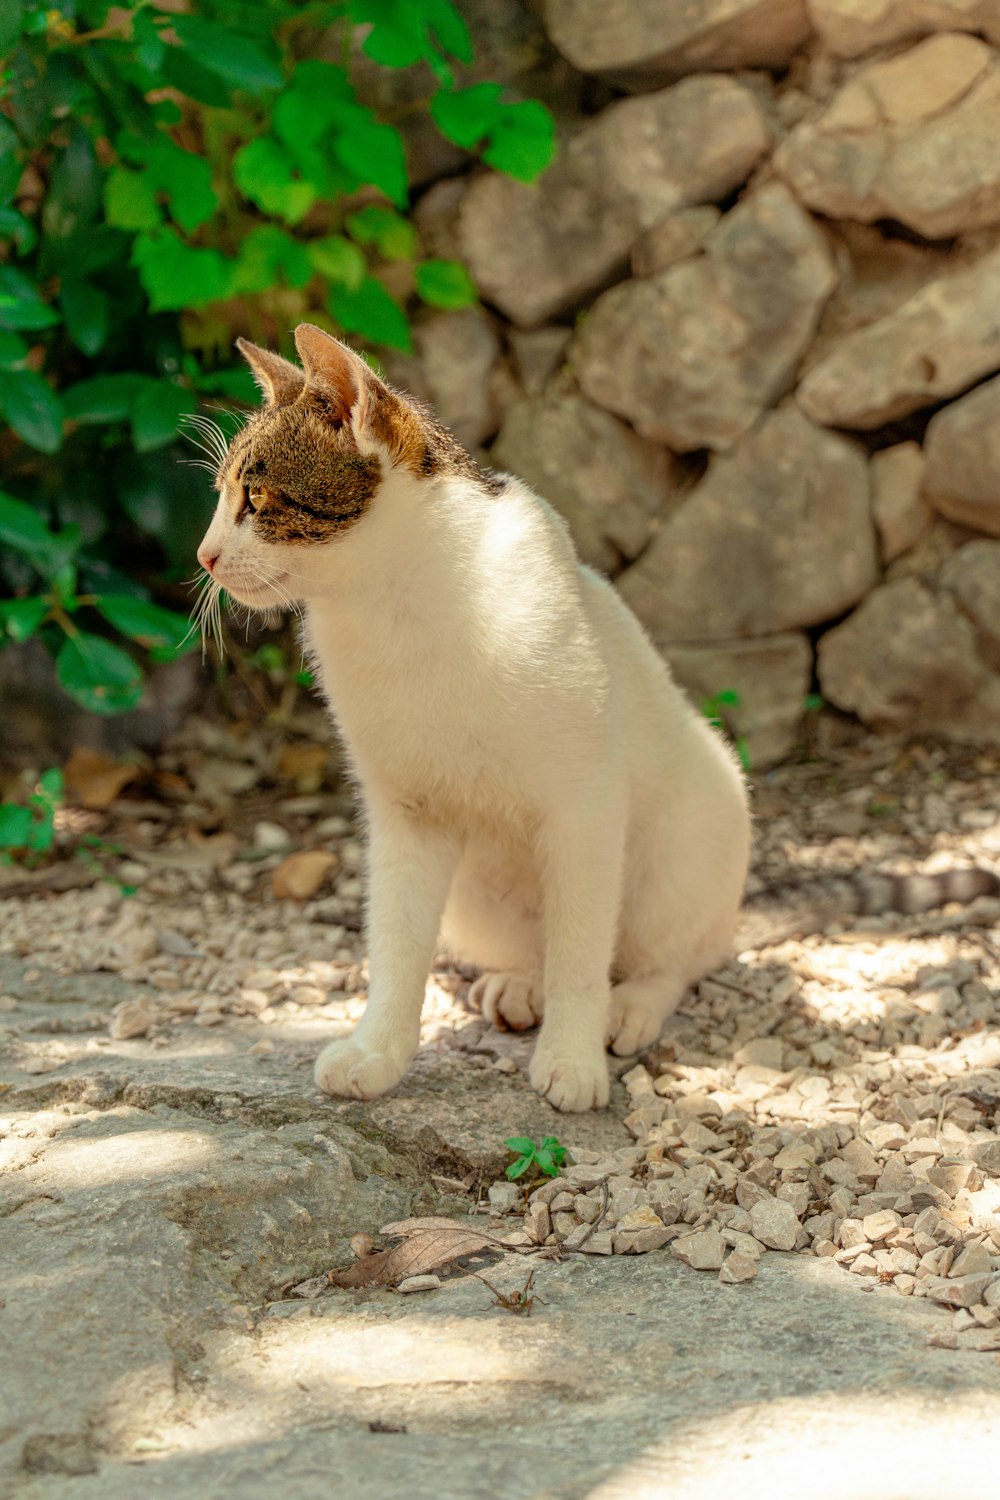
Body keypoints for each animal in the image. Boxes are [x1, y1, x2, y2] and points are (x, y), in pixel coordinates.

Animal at [194, 322, 749, 1110]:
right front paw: (378, 1051)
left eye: (256, 496)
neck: (396, 608)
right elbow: (397, 946)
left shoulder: (584, 806)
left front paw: (574, 1059)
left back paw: (632, 1007)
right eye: (222, 496)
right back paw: (518, 985)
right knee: (537, 945)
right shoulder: (406, 815)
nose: (204, 555)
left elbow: (583, 949)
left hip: (697, 830)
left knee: (671, 955)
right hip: (476, 898)